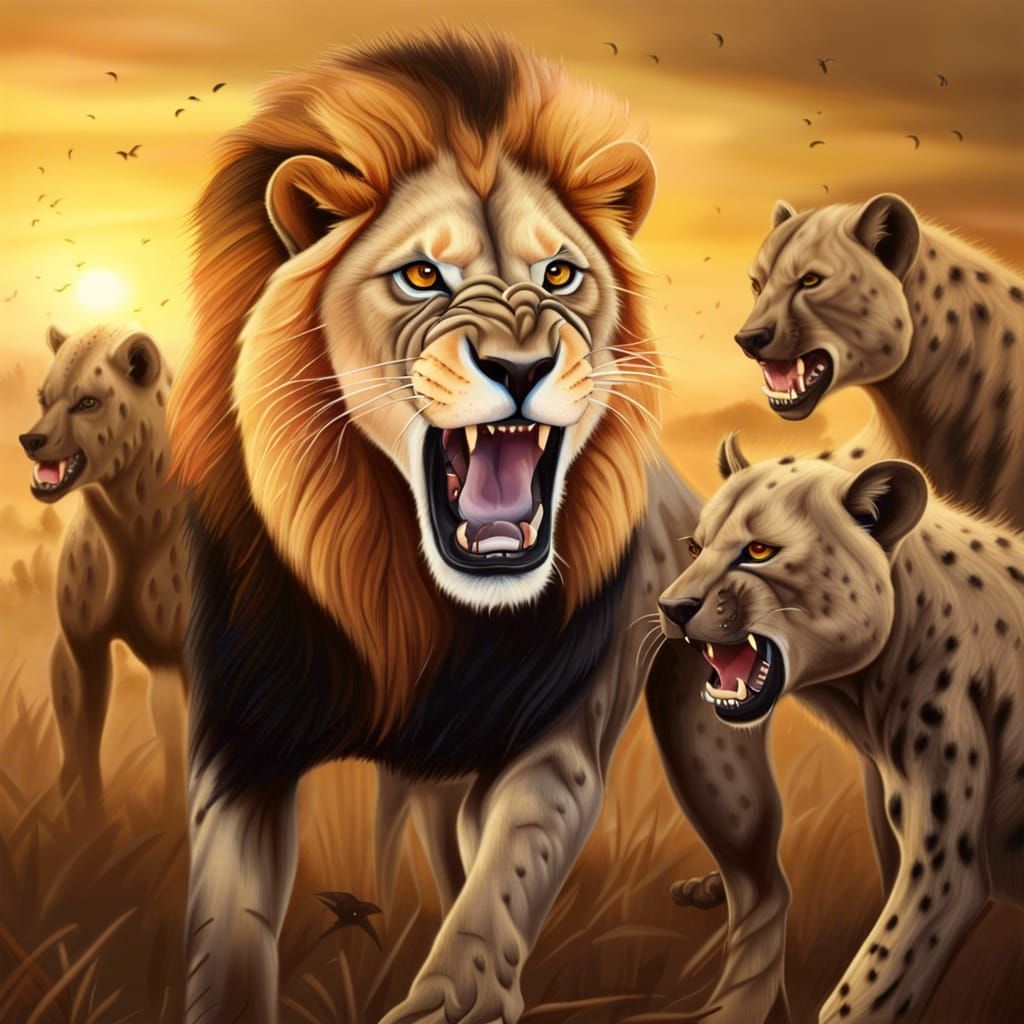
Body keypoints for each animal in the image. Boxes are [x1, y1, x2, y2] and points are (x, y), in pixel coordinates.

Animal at [19, 322, 188, 810]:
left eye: (88, 402)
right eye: (44, 397)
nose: (31, 441)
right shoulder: (83, 643)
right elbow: (83, 736)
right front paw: (84, 816)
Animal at [168, 28, 792, 1024]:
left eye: (560, 273)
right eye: (422, 275)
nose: (521, 364)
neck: (413, 597)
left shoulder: (556, 741)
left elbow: (499, 893)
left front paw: (451, 1000)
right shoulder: (239, 749)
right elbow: (225, 939)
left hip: (712, 741)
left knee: (764, 884)